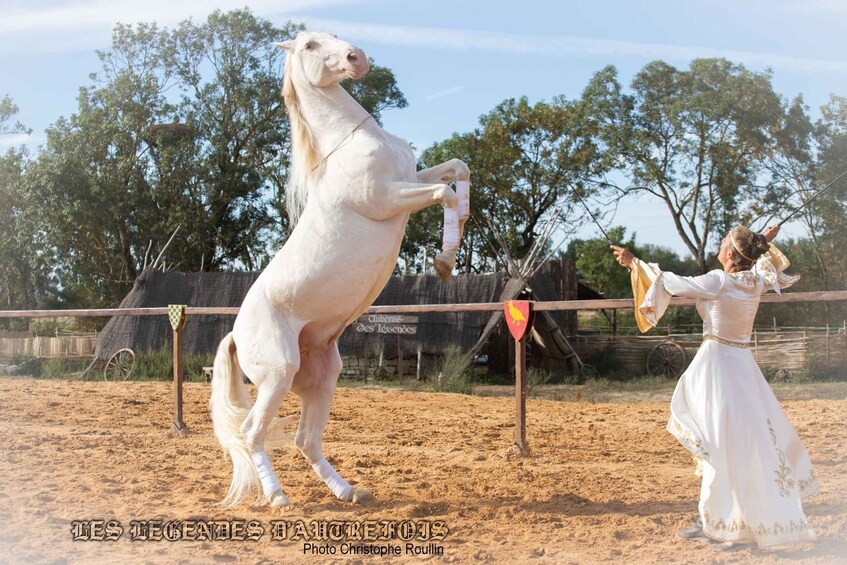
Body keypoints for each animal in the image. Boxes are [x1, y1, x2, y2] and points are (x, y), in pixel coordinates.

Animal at [209, 31, 470, 507]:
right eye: (310, 45)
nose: (356, 58)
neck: (353, 141)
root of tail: (236, 333)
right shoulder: (387, 197)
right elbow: (444, 192)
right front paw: (444, 262)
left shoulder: (411, 177)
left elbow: (457, 171)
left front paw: (450, 252)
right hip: (277, 376)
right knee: (253, 431)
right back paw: (278, 497)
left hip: (322, 377)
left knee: (305, 439)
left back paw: (349, 491)